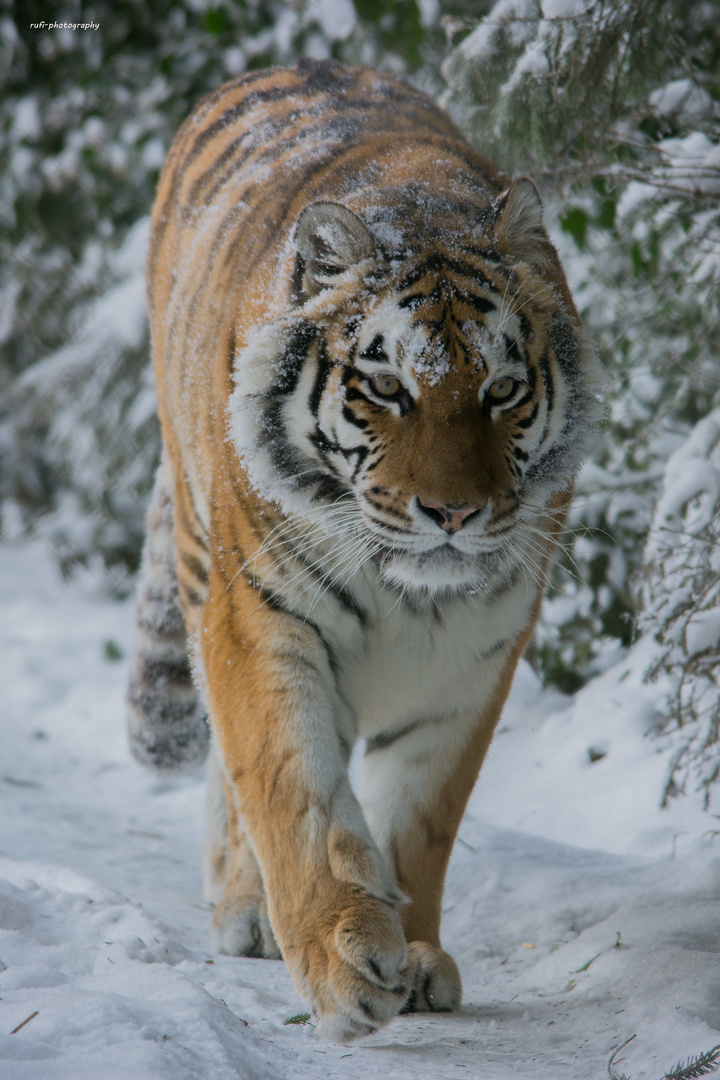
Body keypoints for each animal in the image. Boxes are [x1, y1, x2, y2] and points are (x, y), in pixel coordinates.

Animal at [127, 56, 604, 1036]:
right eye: (386, 388)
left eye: (503, 390)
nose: (452, 513)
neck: (408, 596)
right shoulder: (260, 620)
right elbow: (292, 791)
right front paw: (344, 958)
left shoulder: (474, 660)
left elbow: (420, 817)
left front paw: (414, 954)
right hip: (196, 556)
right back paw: (244, 909)